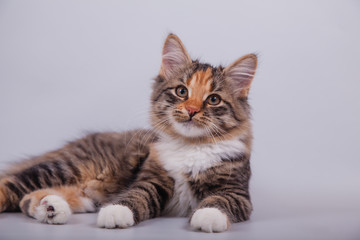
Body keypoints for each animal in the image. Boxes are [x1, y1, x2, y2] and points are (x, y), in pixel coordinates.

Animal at [0, 33, 258, 232]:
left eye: (213, 99)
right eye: (182, 91)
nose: (192, 110)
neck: (189, 145)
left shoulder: (236, 190)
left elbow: (220, 200)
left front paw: (207, 216)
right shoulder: (150, 178)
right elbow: (136, 195)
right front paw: (116, 211)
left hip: (86, 191)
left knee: (26, 199)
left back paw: (50, 207)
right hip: (66, 168)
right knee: (11, 184)